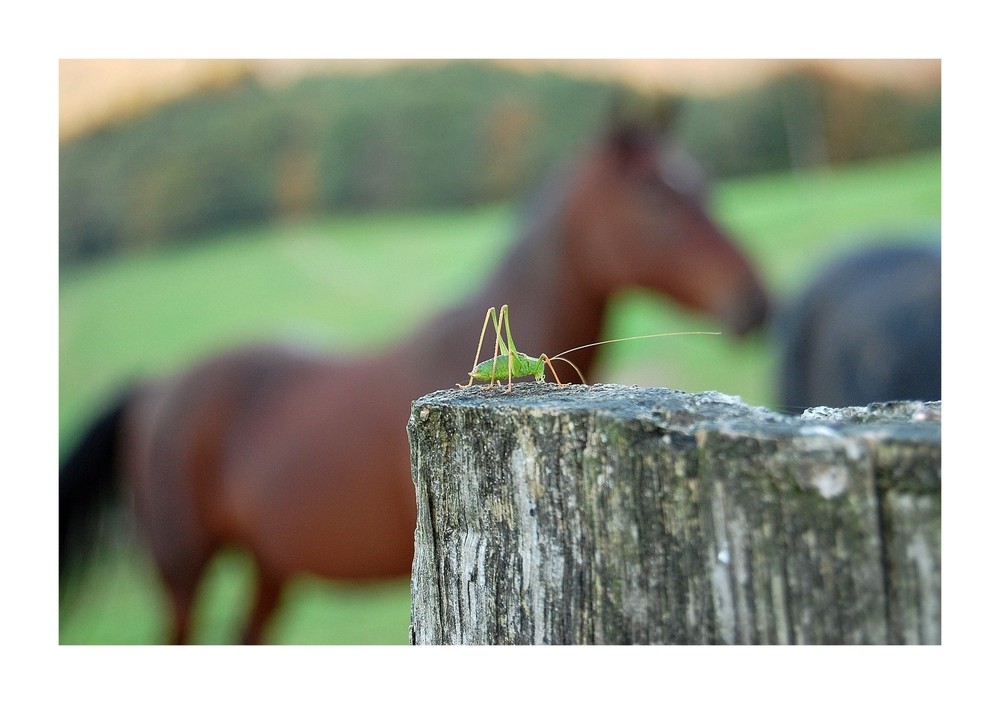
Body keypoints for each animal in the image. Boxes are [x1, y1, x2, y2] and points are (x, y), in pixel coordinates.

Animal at [58, 117, 768, 644]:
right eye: (657, 194)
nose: (754, 303)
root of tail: (154, 384)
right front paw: (513, 381)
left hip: (269, 565)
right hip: (182, 565)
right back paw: (490, 381)